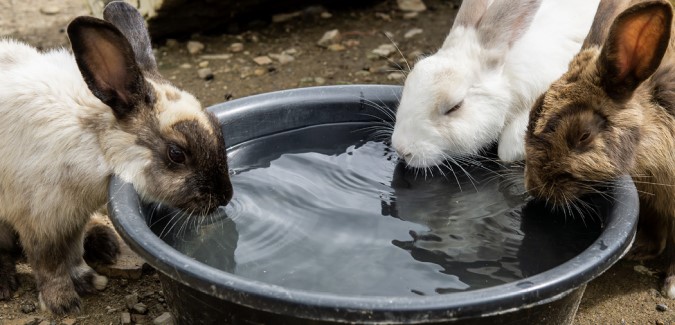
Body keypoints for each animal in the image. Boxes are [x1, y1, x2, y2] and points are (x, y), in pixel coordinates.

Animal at [0, 0, 234, 314]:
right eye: (176, 154)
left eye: (218, 126)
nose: (225, 196)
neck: (96, 142)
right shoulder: (40, 221)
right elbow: (50, 265)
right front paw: (63, 303)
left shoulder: (71, 220)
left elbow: (73, 254)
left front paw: (88, 280)